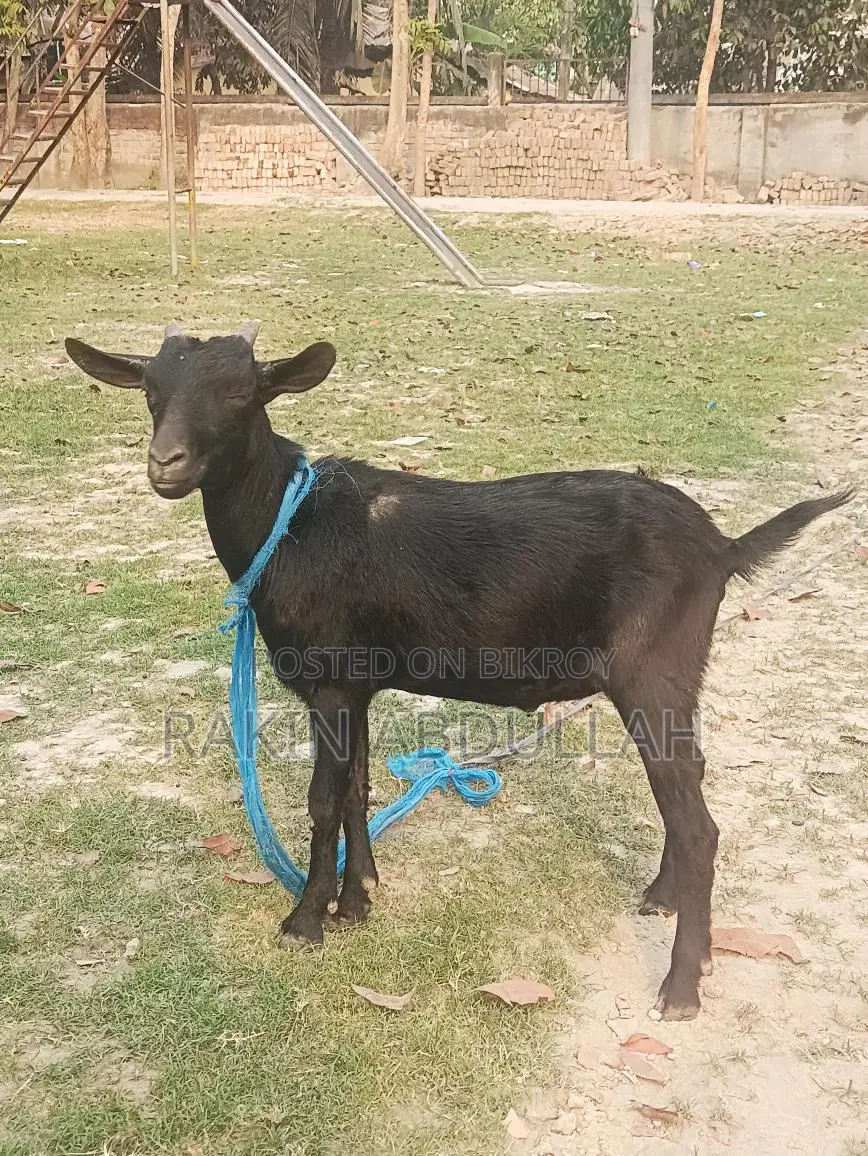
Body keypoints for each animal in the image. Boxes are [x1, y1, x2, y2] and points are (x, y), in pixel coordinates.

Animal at [65, 321, 851, 1021]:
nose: (164, 463)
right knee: (686, 785)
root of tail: (722, 547)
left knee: (698, 824)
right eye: (150, 390)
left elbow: (323, 801)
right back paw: (664, 899)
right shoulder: (357, 683)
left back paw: (682, 986)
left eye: (241, 393)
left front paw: (306, 920)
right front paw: (360, 897)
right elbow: (357, 787)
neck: (290, 527)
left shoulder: (330, 678)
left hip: (652, 670)